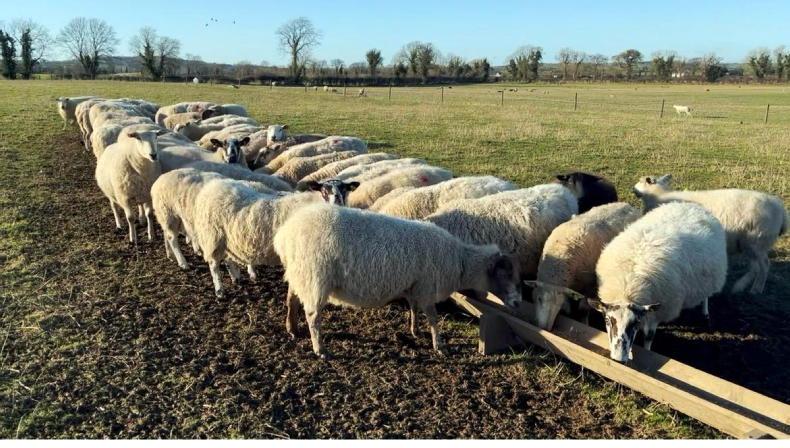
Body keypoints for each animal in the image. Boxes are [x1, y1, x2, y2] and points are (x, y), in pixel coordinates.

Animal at [192, 178, 359, 297]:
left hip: (227, 239)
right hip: (212, 237)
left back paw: (236, 278)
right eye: (324, 190)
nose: (337, 200)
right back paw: (220, 291)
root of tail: (213, 186)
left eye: (344, 189)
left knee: (228, 259)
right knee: (214, 265)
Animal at [273, 203, 522, 357]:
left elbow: (413, 309)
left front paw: (414, 331)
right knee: (313, 315)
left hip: (300, 273)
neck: (459, 260)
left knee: (291, 298)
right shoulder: (427, 287)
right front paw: (439, 345)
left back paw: (292, 328)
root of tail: (284, 235)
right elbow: (433, 318)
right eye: (505, 274)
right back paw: (320, 349)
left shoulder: (415, 285)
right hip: (316, 277)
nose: (518, 303)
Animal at [530, 202, 642, 331]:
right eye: (539, 299)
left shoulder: (590, 287)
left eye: (558, 304)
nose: (544, 328)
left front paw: (584, 323)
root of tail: (627, 204)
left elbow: (583, 310)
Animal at [590, 202, 727, 362]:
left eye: (636, 323)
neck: (628, 287)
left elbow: (649, 337)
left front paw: (647, 353)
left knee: (706, 296)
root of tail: (691, 205)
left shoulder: (659, 313)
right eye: (607, 320)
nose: (618, 359)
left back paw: (705, 313)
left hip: (711, 278)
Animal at [633, 174, 788, 294]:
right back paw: (741, 286)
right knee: (755, 267)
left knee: (763, 266)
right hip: (751, 243)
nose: (633, 189)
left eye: (641, 181)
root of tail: (781, 209)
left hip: (757, 241)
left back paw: (755, 288)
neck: (659, 195)